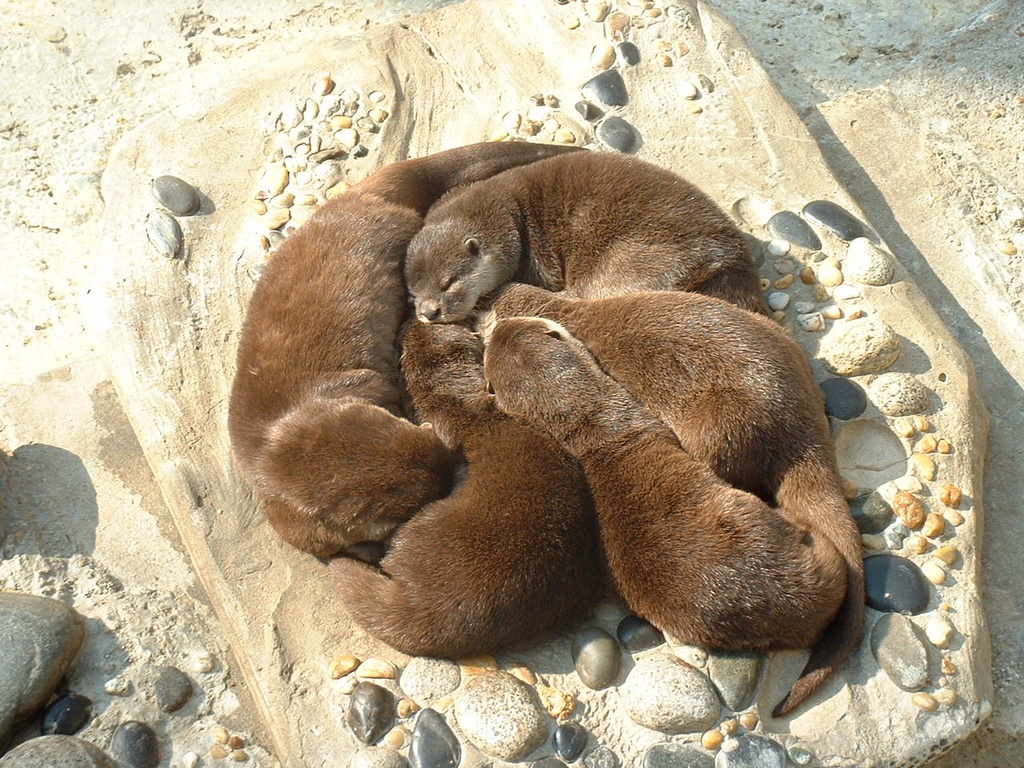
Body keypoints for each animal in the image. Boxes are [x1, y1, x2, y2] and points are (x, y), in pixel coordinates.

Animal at [401, 150, 770, 321]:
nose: (429, 313)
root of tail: (729, 258)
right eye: (414, 294)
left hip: (632, 260)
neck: (512, 217)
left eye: (449, 282)